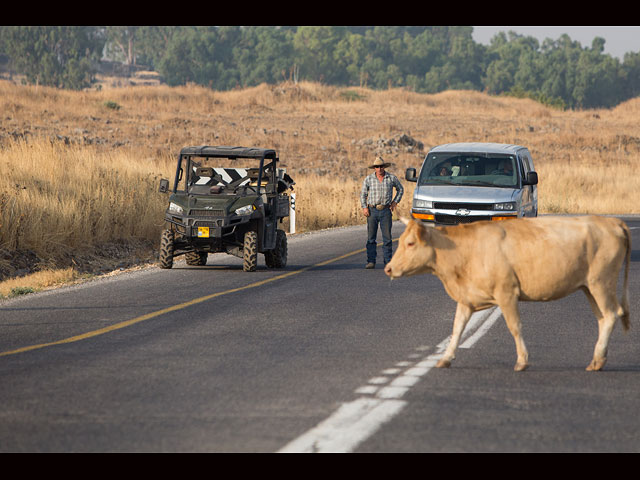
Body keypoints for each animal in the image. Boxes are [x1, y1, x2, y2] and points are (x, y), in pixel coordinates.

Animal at [384, 217, 632, 372]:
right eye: (402, 241)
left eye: (410, 243)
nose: (388, 268)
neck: (466, 251)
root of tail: (612, 221)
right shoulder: (466, 299)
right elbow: (457, 328)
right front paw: (445, 358)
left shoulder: (506, 294)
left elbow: (515, 327)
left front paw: (522, 360)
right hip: (589, 288)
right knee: (602, 319)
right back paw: (597, 359)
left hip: (601, 283)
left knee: (611, 315)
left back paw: (598, 359)